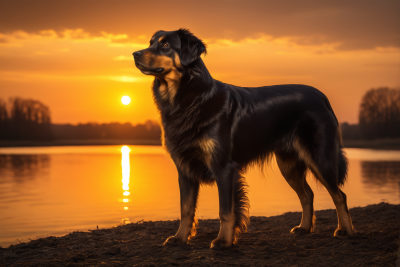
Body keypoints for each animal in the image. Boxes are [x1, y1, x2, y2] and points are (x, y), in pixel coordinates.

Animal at [134, 28, 354, 249]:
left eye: (165, 45)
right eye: (151, 42)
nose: (135, 54)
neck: (190, 99)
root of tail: (322, 97)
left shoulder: (224, 167)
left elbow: (225, 210)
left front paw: (224, 241)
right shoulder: (185, 169)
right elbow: (186, 209)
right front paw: (180, 238)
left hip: (320, 157)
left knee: (339, 195)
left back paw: (345, 230)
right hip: (288, 164)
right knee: (308, 195)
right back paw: (305, 228)